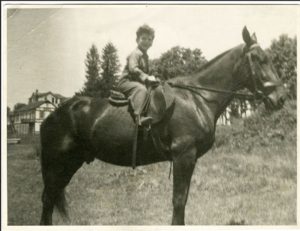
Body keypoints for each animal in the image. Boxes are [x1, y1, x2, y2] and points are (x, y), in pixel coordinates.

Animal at [39, 26, 286, 224]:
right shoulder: (183, 156)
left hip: (71, 163)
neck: (198, 99)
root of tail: (52, 115)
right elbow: (178, 201)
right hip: (57, 164)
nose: (280, 98)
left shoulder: (189, 159)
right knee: (47, 199)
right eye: (259, 59)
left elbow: (183, 200)